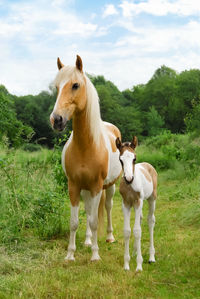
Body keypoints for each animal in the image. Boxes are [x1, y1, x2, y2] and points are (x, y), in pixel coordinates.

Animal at [50, 55, 122, 262]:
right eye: (56, 87)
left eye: (75, 85)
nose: (56, 120)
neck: (86, 146)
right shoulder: (74, 186)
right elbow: (75, 221)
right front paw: (70, 254)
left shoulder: (97, 186)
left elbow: (95, 221)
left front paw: (95, 256)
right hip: (86, 189)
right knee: (90, 210)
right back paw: (89, 241)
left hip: (110, 186)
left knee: (107, 207)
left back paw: (109, 237)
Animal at [115, 137, 158, 274]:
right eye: (120, 159)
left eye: (134, 158)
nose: (129, 178)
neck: (130, 186)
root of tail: (147, 165)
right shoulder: (126, 203)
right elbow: (128, 231)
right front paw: (126, 264)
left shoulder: (139, 201)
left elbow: (138, 231)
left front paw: (139, 266)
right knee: (140, 219)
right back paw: (134, 252)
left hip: (151, 199)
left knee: (150, 220)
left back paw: (151, 257)